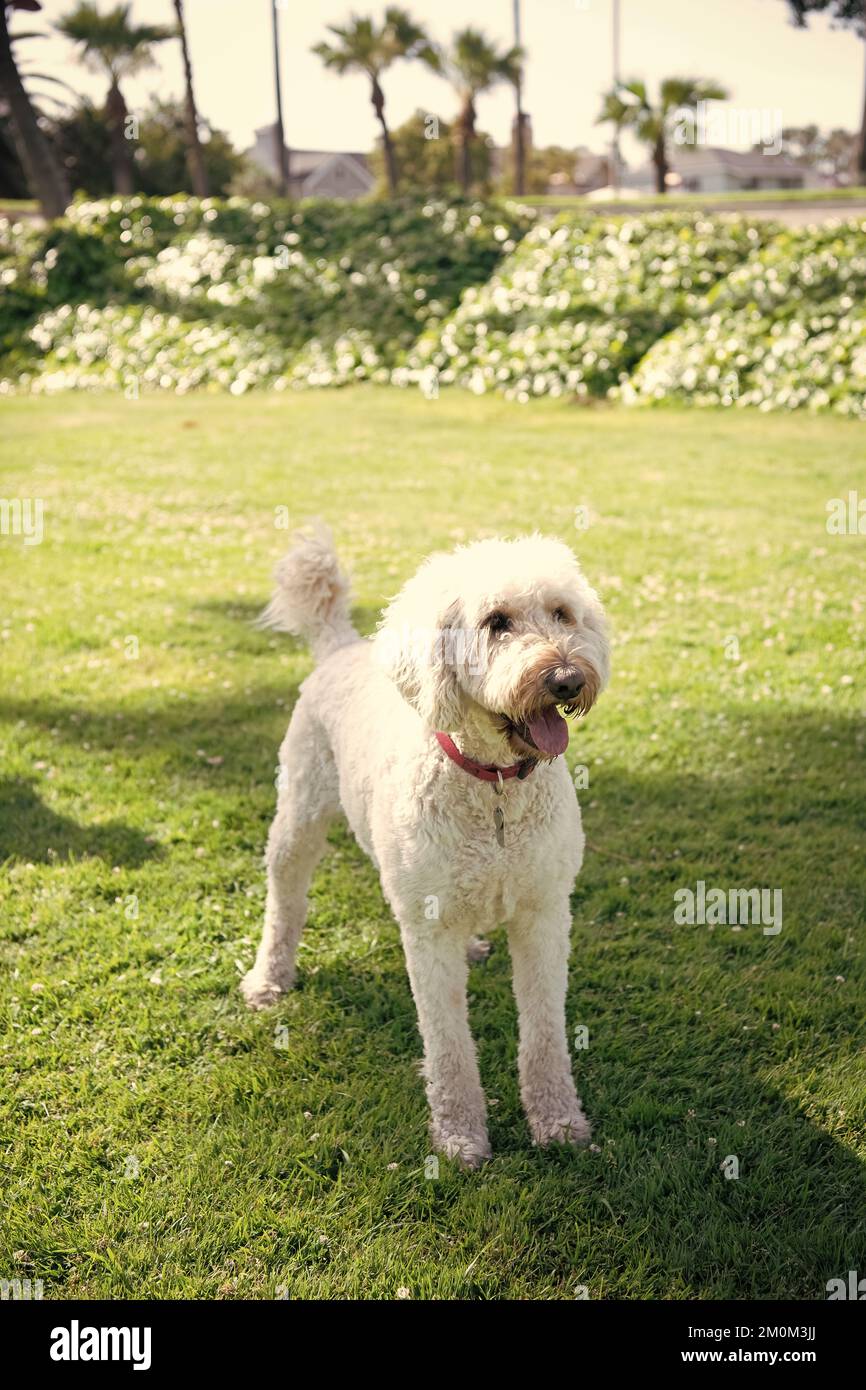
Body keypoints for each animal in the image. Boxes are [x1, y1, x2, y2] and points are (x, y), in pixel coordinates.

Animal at [240, 525, 614, 1167]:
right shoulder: (428, 931)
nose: (567, 678)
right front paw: (460, 1135)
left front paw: (559, 1121)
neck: (494, 786)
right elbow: (448, 1046)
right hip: (299, 818)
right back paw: (269, 977)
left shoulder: (543, 913)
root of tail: (340, 647)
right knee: (284, 900)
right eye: (496, 622)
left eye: (563, 613)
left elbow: (544, 1032)